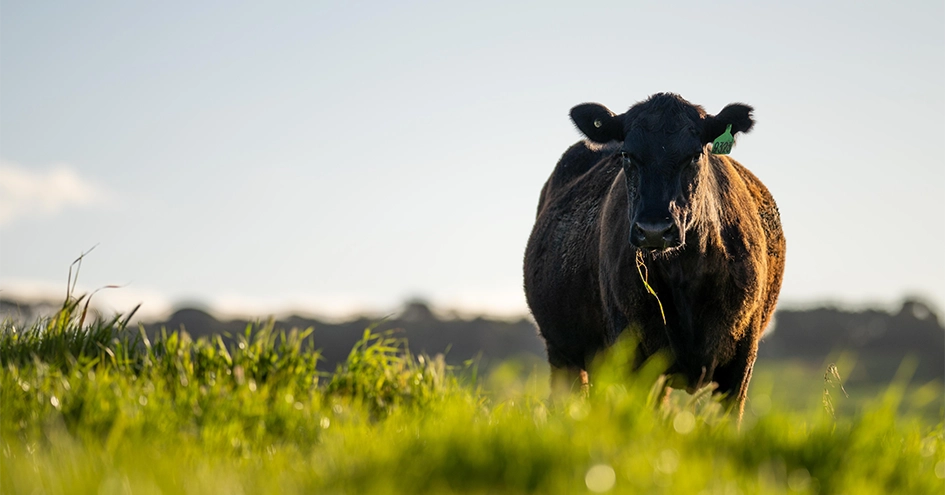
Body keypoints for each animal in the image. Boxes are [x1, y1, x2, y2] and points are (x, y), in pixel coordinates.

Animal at [523, 93, 785, 421]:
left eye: (695, 155)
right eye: (627, 155)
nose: (654, 230)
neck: (685, 275)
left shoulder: (740, 363)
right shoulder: (631, 356)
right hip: (563, 354)